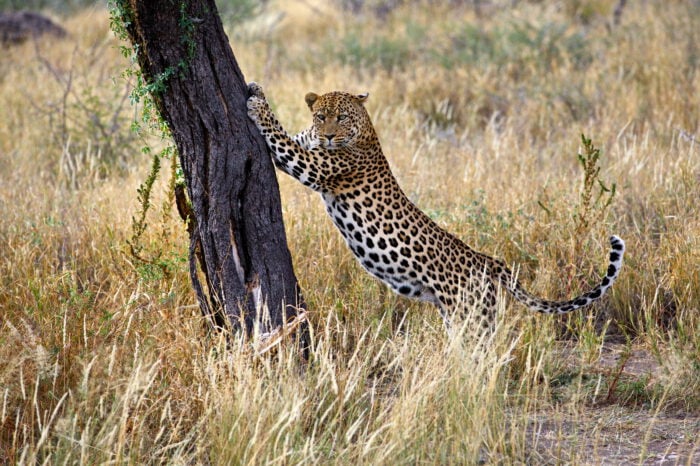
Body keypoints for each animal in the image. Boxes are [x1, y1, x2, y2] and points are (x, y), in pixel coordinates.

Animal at [245, 83, 624, 332]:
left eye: (341, 118)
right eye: (322, 116)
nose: (327, 136)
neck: (365, 130)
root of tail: (489, 261)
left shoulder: (313, 165)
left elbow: (278, 134)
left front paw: (257, 105)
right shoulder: (306, 145)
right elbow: (291, 133)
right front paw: (257, 89)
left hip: (471, 319)